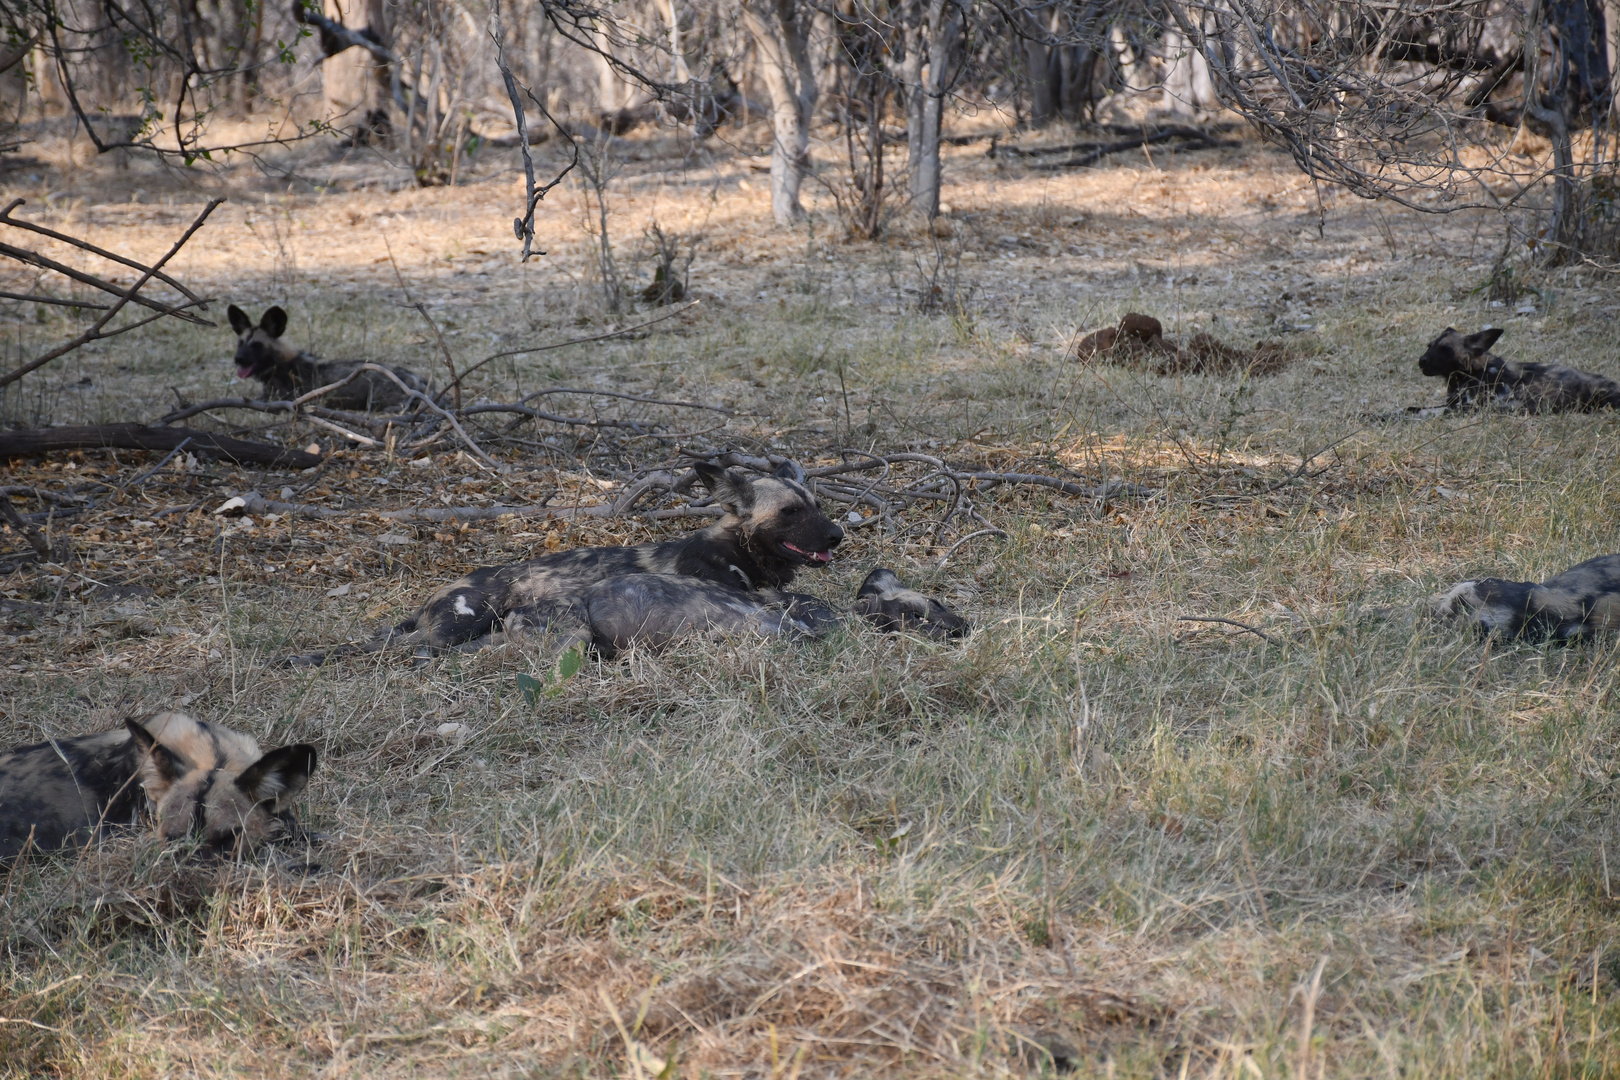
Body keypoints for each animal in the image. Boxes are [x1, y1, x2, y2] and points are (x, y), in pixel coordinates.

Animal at [230, 304, 430, 414]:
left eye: (257, 345)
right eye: (240, 343)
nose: (238, 359)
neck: (280, 364)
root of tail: (419, 379)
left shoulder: (278, 398)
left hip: (380, 400)